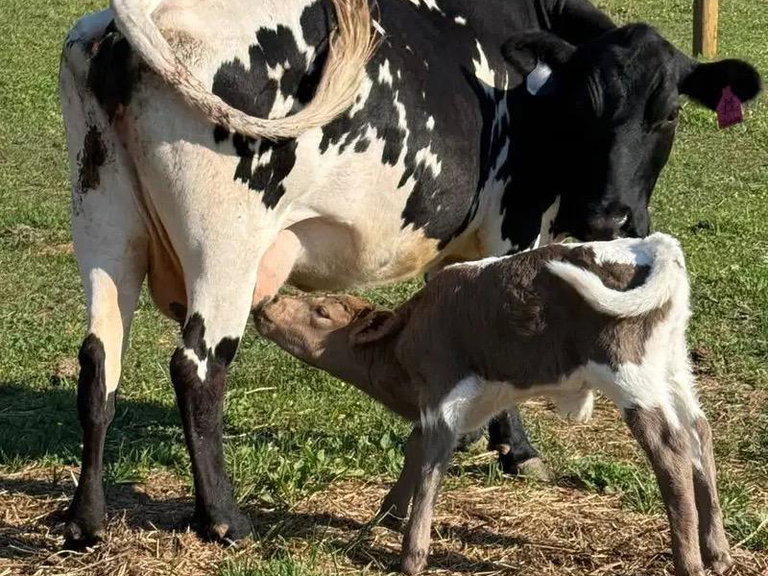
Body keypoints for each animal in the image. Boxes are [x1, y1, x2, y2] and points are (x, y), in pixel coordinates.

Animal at [59, 0, 760, 547]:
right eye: (581, 108)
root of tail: (130, 27)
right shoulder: (513, 223)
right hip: (225, 243)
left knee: (98, 362)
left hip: (103, 221)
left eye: (667, 113)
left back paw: (86, 521)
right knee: (198, 368)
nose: (608, 217)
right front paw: (518, 449)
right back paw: (225, 519)